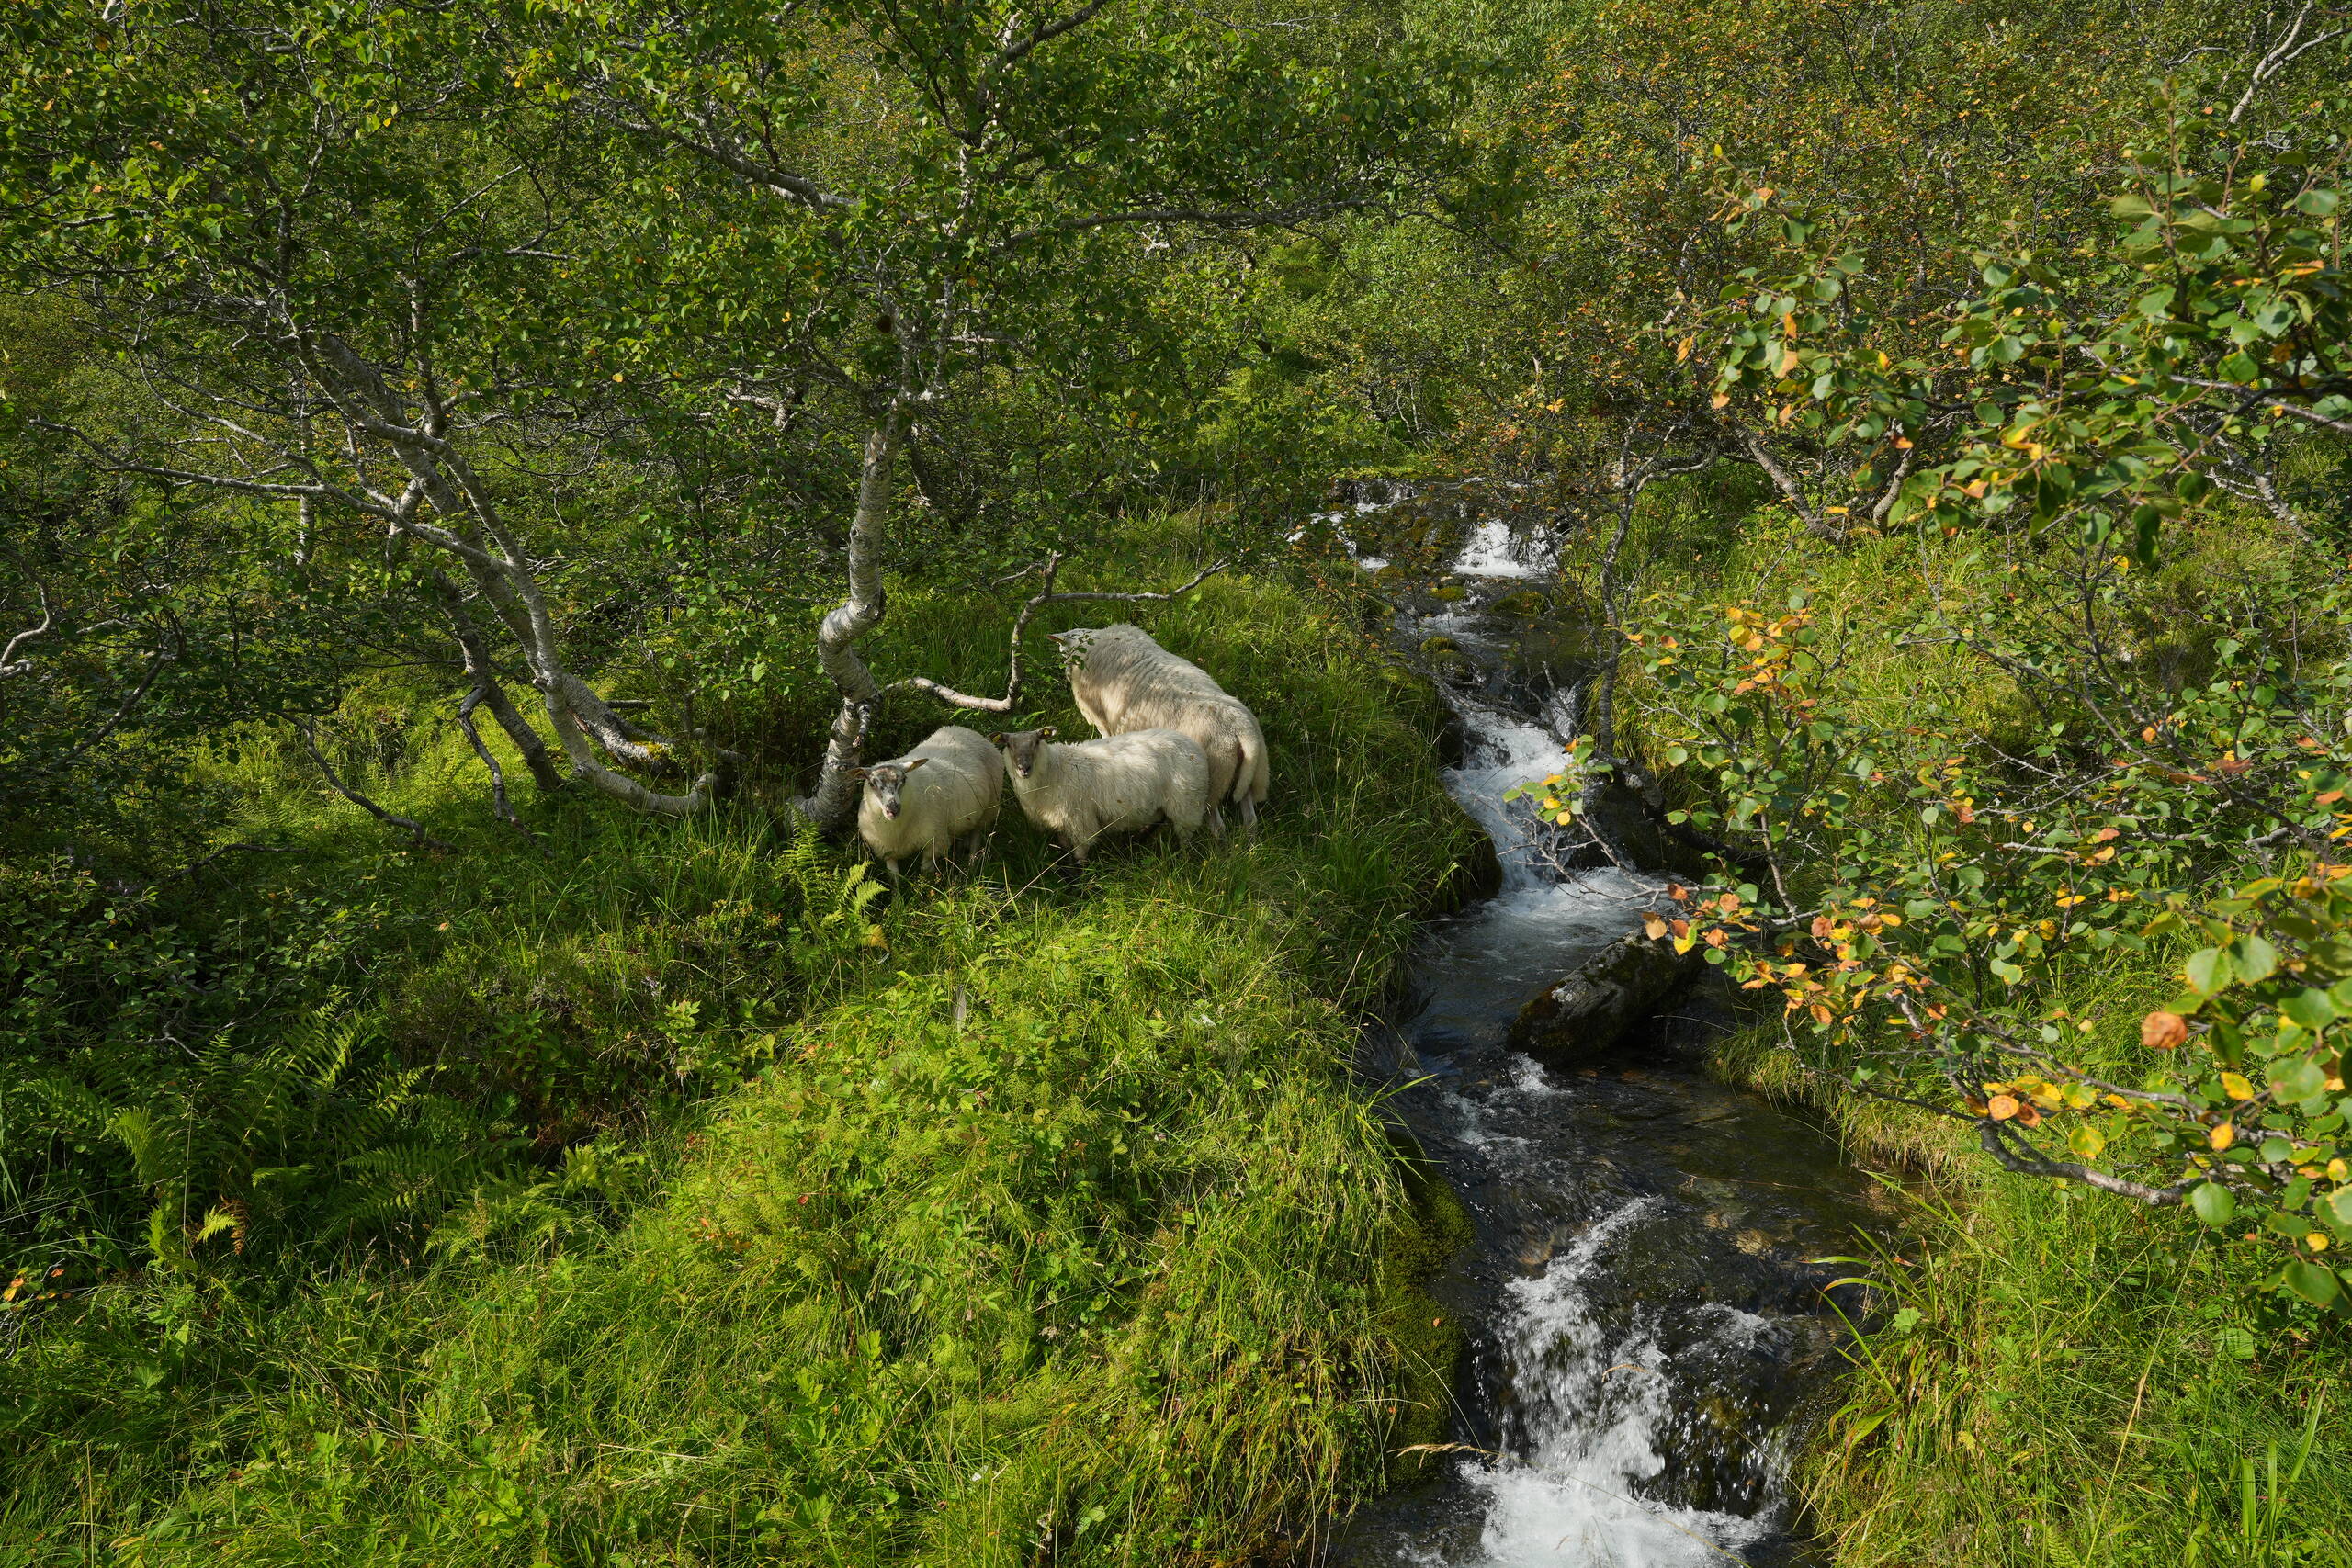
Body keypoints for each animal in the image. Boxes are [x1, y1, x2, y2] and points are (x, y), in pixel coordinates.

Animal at [854, 725, 1004, 884]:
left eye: (904, 779)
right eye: (871, 784)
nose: (893, 809)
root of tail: (966, 730)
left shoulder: (934, 842)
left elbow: (926, 873)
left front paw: (927, 888)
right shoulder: (887, 849)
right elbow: (895, 878)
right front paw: (897, 891)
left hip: (988, 810)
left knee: (976, 838)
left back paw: (971, 866)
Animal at [994, 726, 1209, 865]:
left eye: (1037, 741)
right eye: (1009, 745)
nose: (1024, 768)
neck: (1054, 770)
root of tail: (1192, 745)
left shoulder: (1080, 823)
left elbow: (1079, 860)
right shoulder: (1060, 823)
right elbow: (1065, 855)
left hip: (1187, 803)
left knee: (1184, 836)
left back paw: (1182, 859)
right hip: (1163, 803)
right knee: (1158, 819)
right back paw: (1134, 843)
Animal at [1046, 623, 1270, 831]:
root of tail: (1242, 731)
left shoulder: (1100, 714)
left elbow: (1105, 736)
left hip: (1212, 779)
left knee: (1217, 825)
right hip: (1248, 771)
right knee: (1249, 815)